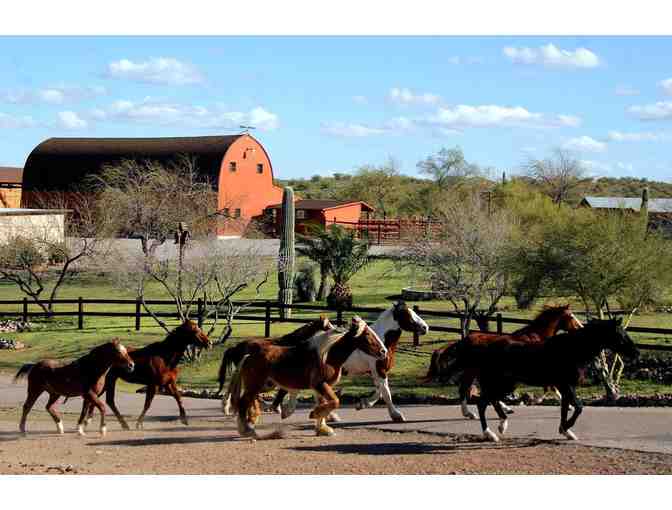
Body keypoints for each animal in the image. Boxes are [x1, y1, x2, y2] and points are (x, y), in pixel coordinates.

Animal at [82, 320, 213, 428]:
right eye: (195, 330)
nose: (209, 343)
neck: (165, 357)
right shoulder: (153, 384)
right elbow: (148, 404)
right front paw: (139, 423)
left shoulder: (168, 383)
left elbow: (178, 397)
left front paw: (184, 419)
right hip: (109, 380)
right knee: (106, 400)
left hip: (108, 381)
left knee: (103, 399)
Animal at [231, 314, 388, 438]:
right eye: (367, 335)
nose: (384, 351)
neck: (327, 356)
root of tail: (249, 355)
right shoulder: (320, 384)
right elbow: (335, 401)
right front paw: (314, 414)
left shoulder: (321, 387)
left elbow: (323, 403)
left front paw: (322, 429)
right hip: (256, 385)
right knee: (243, 402)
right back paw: (247, 430)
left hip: (264, 385)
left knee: (249, 400)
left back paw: (252, 421)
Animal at [276, 300, 428, 424]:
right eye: (407, 314)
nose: (425, 327)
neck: (381, 341)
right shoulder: (379, 370)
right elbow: (386, 392)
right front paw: (397, 415)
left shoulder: (375, 372)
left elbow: (380, 391)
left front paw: (363, 403)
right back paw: (285, 410)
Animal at [422, 304, 580, 420]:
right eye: (571, 316)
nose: (580, 327)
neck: (536, 336)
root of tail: (464, 340)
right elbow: (551, 386)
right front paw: (564, 404)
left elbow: (550, 386)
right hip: (473, 370)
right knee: (465, 389)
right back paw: (470, 413)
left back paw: (505, 409)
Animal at [456, 318, 640, 442]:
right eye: (620, 335)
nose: (636, 353)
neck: (572, 351)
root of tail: (484, 348)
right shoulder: (566, 385)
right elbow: (578, 407)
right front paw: (566, 428)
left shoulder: (566, 386)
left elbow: (565, 407)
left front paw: (566, 431)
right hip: (500, 383)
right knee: (482, 403)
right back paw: (490, 433)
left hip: (505, 384)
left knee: (491, 400)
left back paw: (502, 425)